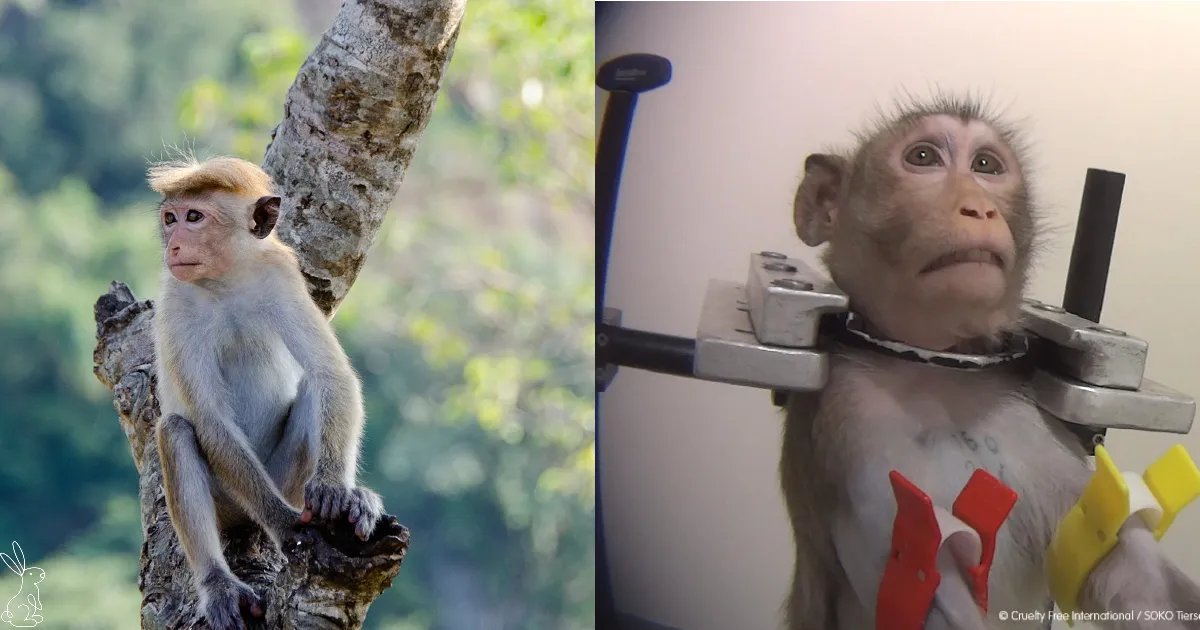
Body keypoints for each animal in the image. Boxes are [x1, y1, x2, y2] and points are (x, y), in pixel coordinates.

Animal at [148, 156, 384, 629]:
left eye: (194, 217)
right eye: (170, 218)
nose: (174, 245)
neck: (225, 281)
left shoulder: (280, 276)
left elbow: (331, 374)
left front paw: (338, 490)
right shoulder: (177, 303)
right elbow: (210, 420)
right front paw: (287, 526)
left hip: (284, 477)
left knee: (313, 389)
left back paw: (352, 498)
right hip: (230, 499)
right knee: (177, 430)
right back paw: (219, 584)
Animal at [779, 95, 1200, 630]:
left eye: (985, 165)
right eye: (922, 157)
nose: (978, 207)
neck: (939, 368)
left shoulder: (1042, 441)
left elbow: (1113, 557)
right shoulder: (850, 432)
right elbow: (916, 580)